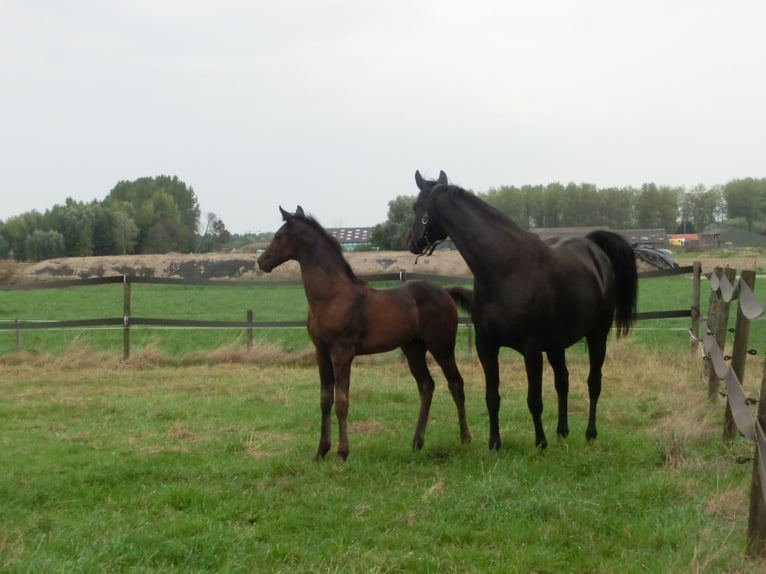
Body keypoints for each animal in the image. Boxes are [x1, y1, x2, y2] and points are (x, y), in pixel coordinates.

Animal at [257, 206, 472, 460]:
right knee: (426, 386)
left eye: (279, 236)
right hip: (414, 348)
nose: (261, 261)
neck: (331, 296)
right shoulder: (321, 353)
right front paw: (320, 451)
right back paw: (417, 443)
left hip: (442, 346)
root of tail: (446, 293)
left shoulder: (342, 353)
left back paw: (465, 439)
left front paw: (342, 452)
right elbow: (325, 399)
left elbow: (341, 401)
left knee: (456, 384)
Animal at [408, 171, 638, 451]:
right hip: (556, 345)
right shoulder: (486, 347)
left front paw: (540, 443)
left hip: (597, 336)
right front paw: (494, 443)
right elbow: (492, 397)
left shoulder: (531, 349)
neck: (505, 268)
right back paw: (562, 431)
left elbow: (534, 400)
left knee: (593, 383)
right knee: (562, 381)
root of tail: (594, 249)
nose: (411, 242)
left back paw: (590, 433)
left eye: (416, 207)